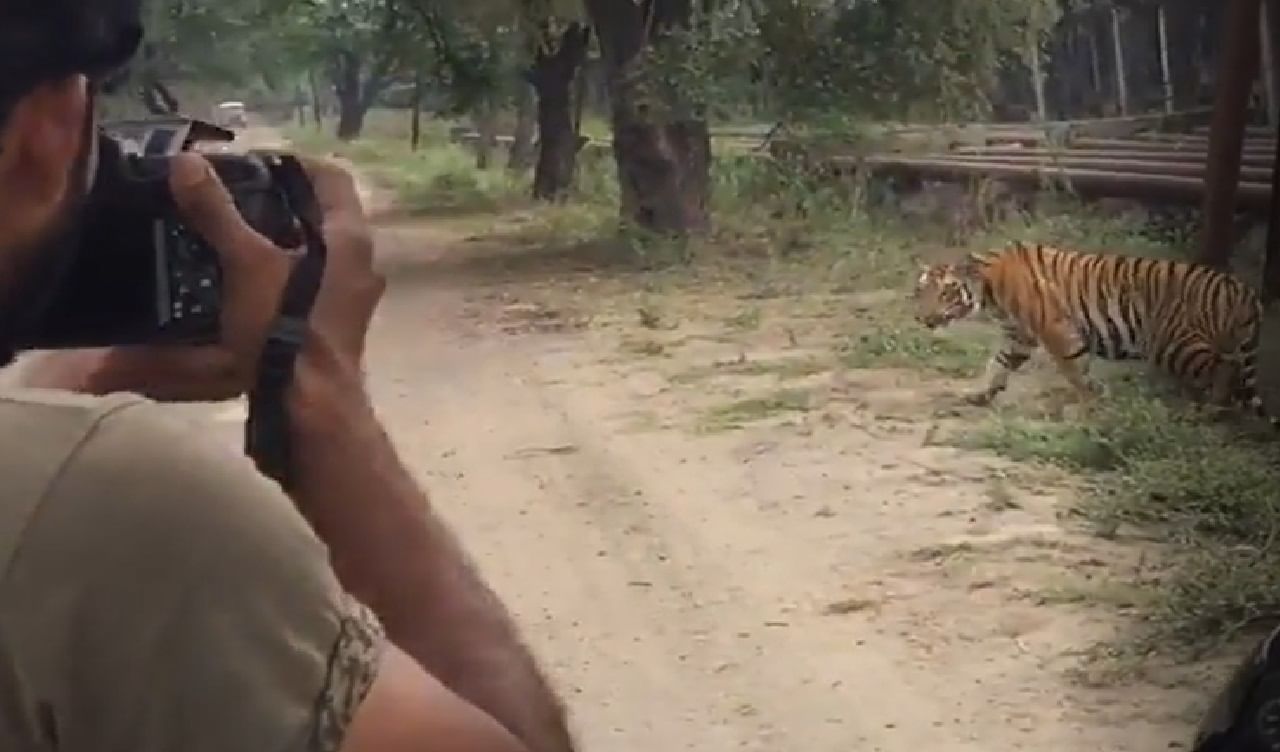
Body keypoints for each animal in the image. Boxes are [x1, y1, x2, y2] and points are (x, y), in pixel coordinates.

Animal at [911, 240, 1269, 422]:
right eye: (921, 291)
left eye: (946, 293)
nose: (922, 318)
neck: (989, 291)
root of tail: (1245, 291)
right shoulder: (1019, 336)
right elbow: (997, 365)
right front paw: (979, 395)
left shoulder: (1054, 329)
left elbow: (1074, 370)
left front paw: (1088, 406)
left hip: (1174, 343)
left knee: (1223, 370)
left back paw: (1207, 413)